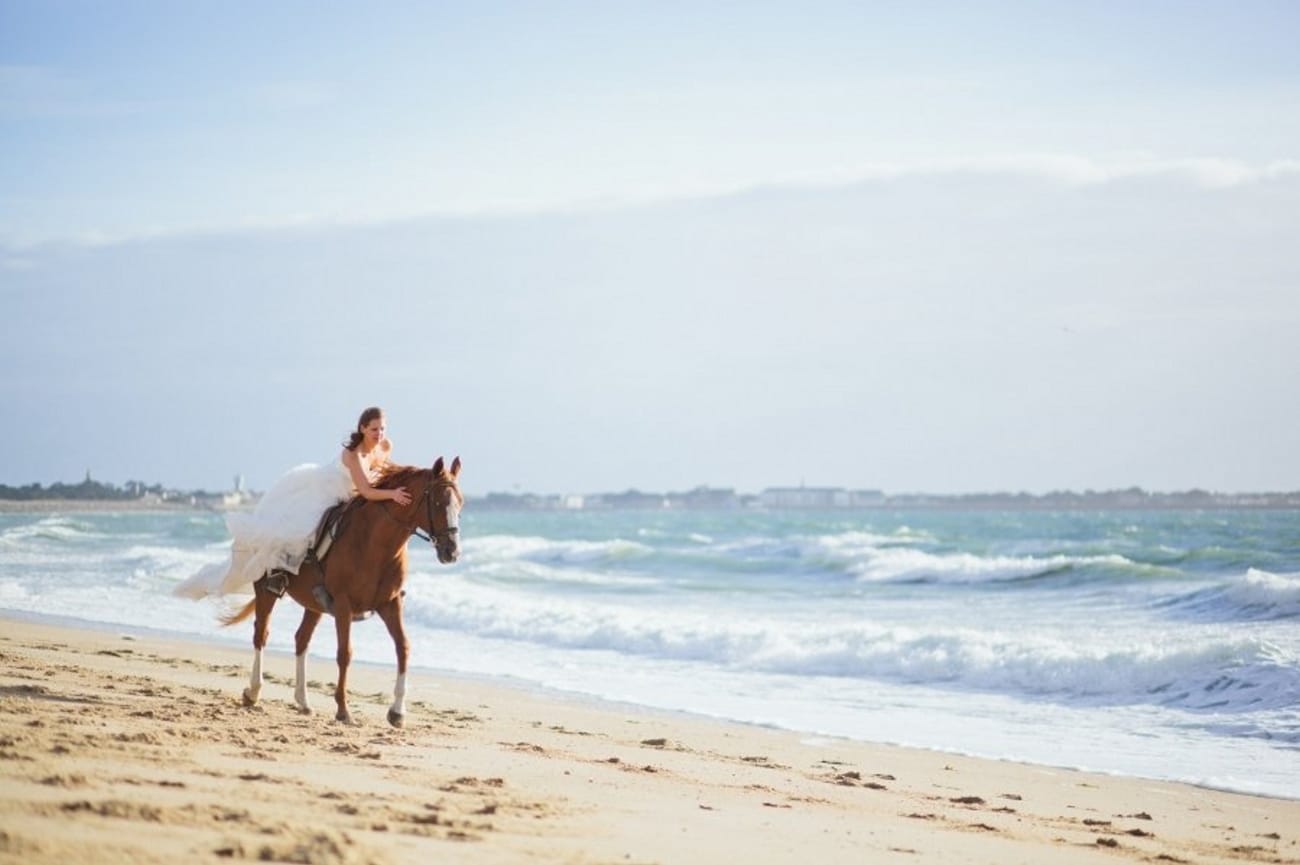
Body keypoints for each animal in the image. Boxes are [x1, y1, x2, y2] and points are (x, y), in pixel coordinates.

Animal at [222, 455, 462, 723]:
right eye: (439, 503)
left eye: (460, 503)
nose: (451, 552)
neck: (375, 543)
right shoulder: (343, 604)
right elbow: (345, 653)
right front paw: (343, 710)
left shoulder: (390, 604)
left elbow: (403, 648)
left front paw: (397, 711)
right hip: (266, 590)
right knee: (261, 634)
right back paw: (253, 692)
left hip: (313, 603)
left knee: (301, 639)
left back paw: (303, 701)